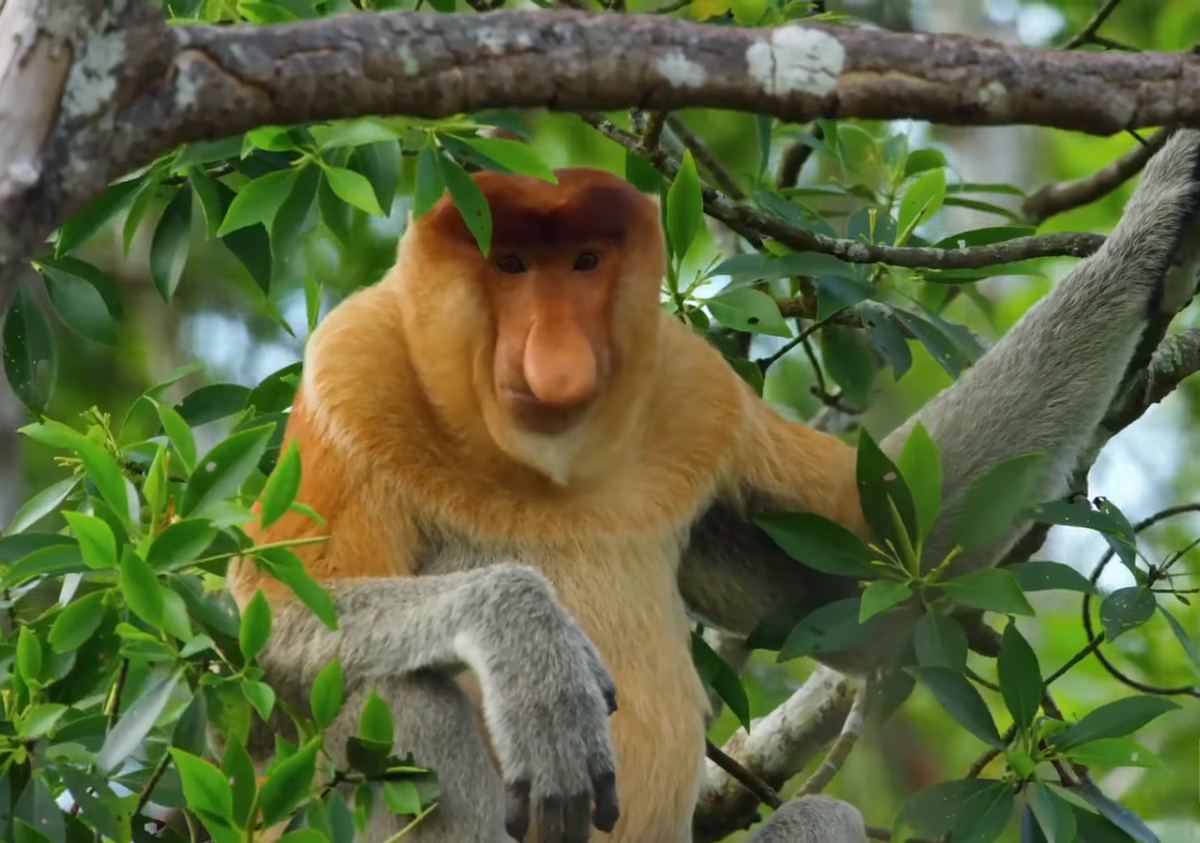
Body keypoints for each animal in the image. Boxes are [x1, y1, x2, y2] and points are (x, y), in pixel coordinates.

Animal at [220, 128, 1200, 842]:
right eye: (510, 267)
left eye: (585, 262)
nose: (556, 358)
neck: (542, 460)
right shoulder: (353, 373)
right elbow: (272, 616)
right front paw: (530, 647)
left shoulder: (700, 398)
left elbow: (870, 571)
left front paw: (1164, 200)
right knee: (378, 685)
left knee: (828, 812)